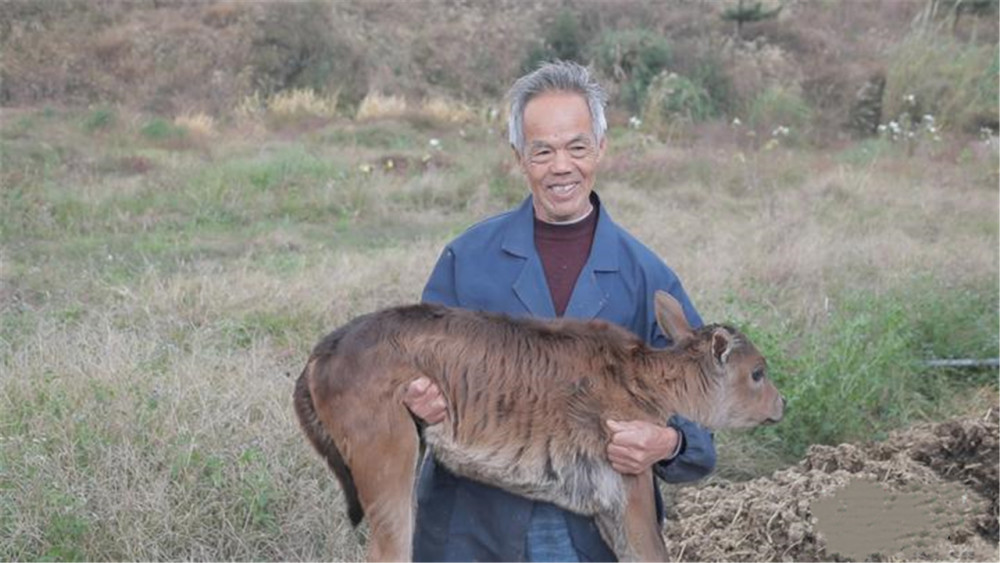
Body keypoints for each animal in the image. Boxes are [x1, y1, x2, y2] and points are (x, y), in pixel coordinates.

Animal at [292, 294, 784, 560]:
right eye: (758, 372)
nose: (781, 403)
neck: (643, 377)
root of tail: (323, 350)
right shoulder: (629, 485)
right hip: (387, 455)